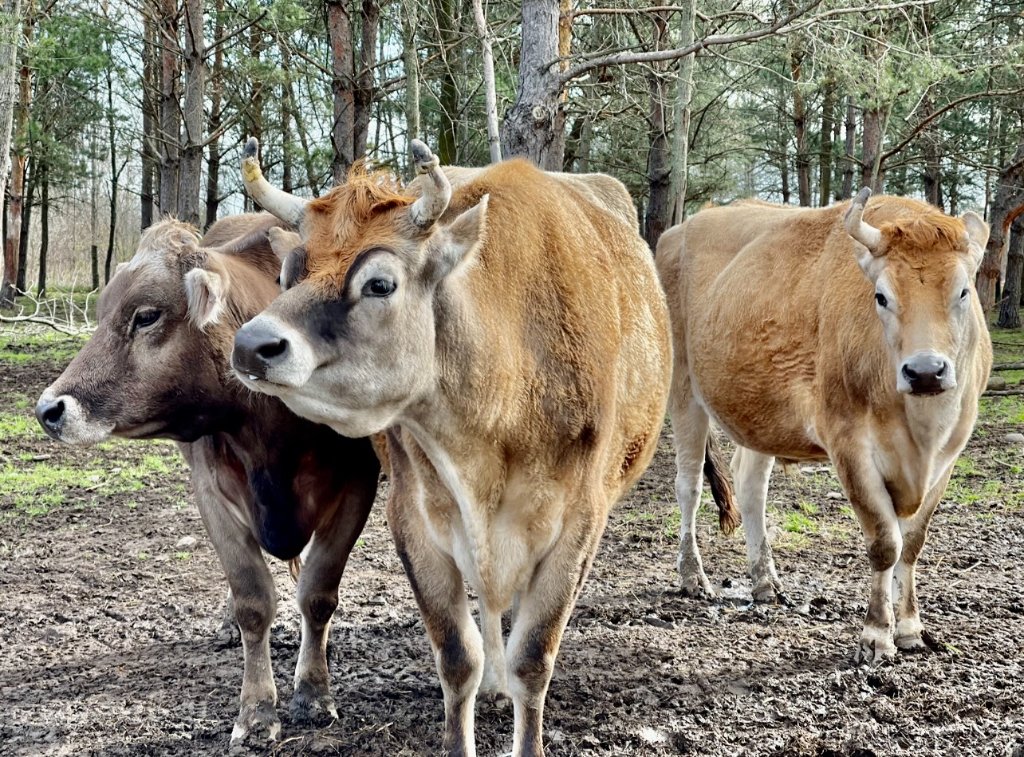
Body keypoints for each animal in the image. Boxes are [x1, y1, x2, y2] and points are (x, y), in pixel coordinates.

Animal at [34, 214, 380, 744]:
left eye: (146, 315)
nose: (48, 409)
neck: (271, 435)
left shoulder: (359, 485)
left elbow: (318, 594)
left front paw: (313, 692)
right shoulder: (212, 495)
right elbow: (252, 600)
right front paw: (256, 710)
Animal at [230, 138, 671, 756]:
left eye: (380, 283)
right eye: (289, 273)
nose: (250, 344)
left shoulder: (579, 523)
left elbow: (534, 657)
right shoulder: (413, 518)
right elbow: (458, 657)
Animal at [655, 188, 992, 663]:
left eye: (963, 291)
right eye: (881, 296)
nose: (926, 372)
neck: (921, 430)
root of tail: (679, 230)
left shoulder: (949, 454)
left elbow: (912, 544)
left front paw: (910, 628)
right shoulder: (849, 445)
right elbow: (885, 543)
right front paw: (876, 635)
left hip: (759, 412)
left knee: (750, 486)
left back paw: (765, 581)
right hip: (683, 390)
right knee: (689, 486)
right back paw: (692, 576)